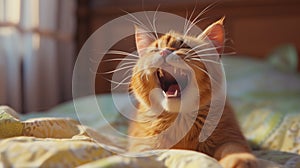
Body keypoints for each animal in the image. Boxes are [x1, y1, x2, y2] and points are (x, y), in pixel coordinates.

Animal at [127, 17, 256, 167]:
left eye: (184, 46)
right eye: (155, 49)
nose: (165, 51)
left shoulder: (231, 138)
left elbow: (234, 150)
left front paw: (240, 161)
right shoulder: (142, 146)